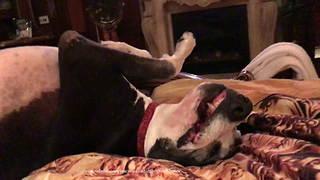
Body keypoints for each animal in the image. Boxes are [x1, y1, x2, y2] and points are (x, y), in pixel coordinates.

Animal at [0, 30, 252, 179]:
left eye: (215, 151)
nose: (245, 105)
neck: (140, 124)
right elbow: (147, 57)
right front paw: (117, 43)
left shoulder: (77, 50)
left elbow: (166, 67)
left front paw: (183, 46)